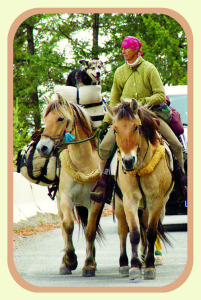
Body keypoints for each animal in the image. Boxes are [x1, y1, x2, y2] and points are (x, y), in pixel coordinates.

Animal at [36, 94, 104, 276]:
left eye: (60, 118)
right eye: (45, 118)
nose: (42, 147)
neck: (83, 163)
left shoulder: (96, 201)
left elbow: (90, 230)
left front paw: (89, 265)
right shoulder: (66, 198)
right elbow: (68, 226)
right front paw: (70, 260)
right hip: (60, 202)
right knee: (63, 227)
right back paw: (65, 262)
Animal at [107, 99, 174, 280]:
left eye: (136, 127)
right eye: (115, 129)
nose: (128, 161)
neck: (139, 169)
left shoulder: (156, 201)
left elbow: (150, 233)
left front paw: (149, 265)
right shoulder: (130, 200)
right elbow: (134, 233)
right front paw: (135, 267)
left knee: (145, 228)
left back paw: (144, 258)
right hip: (120, 205)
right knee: (123, 231)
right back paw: (124, 264)